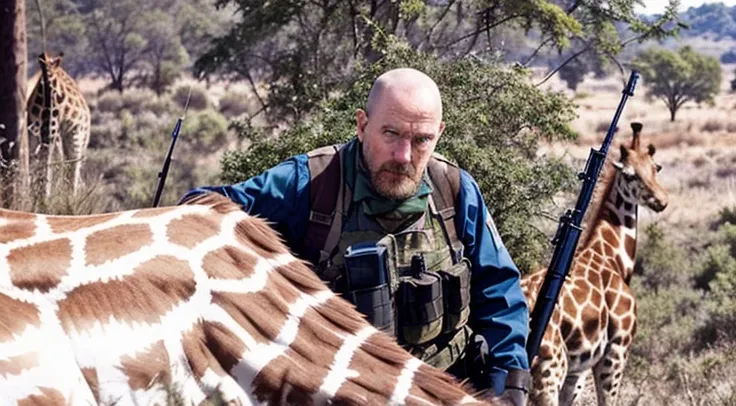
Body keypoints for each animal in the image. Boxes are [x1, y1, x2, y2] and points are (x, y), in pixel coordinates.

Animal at [520, 123, 668, 406]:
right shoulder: (616, 352)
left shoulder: (576, 372)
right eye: (630, 175)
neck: (612, 257)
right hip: (549, 372)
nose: (661, 201)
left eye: (656, 167)